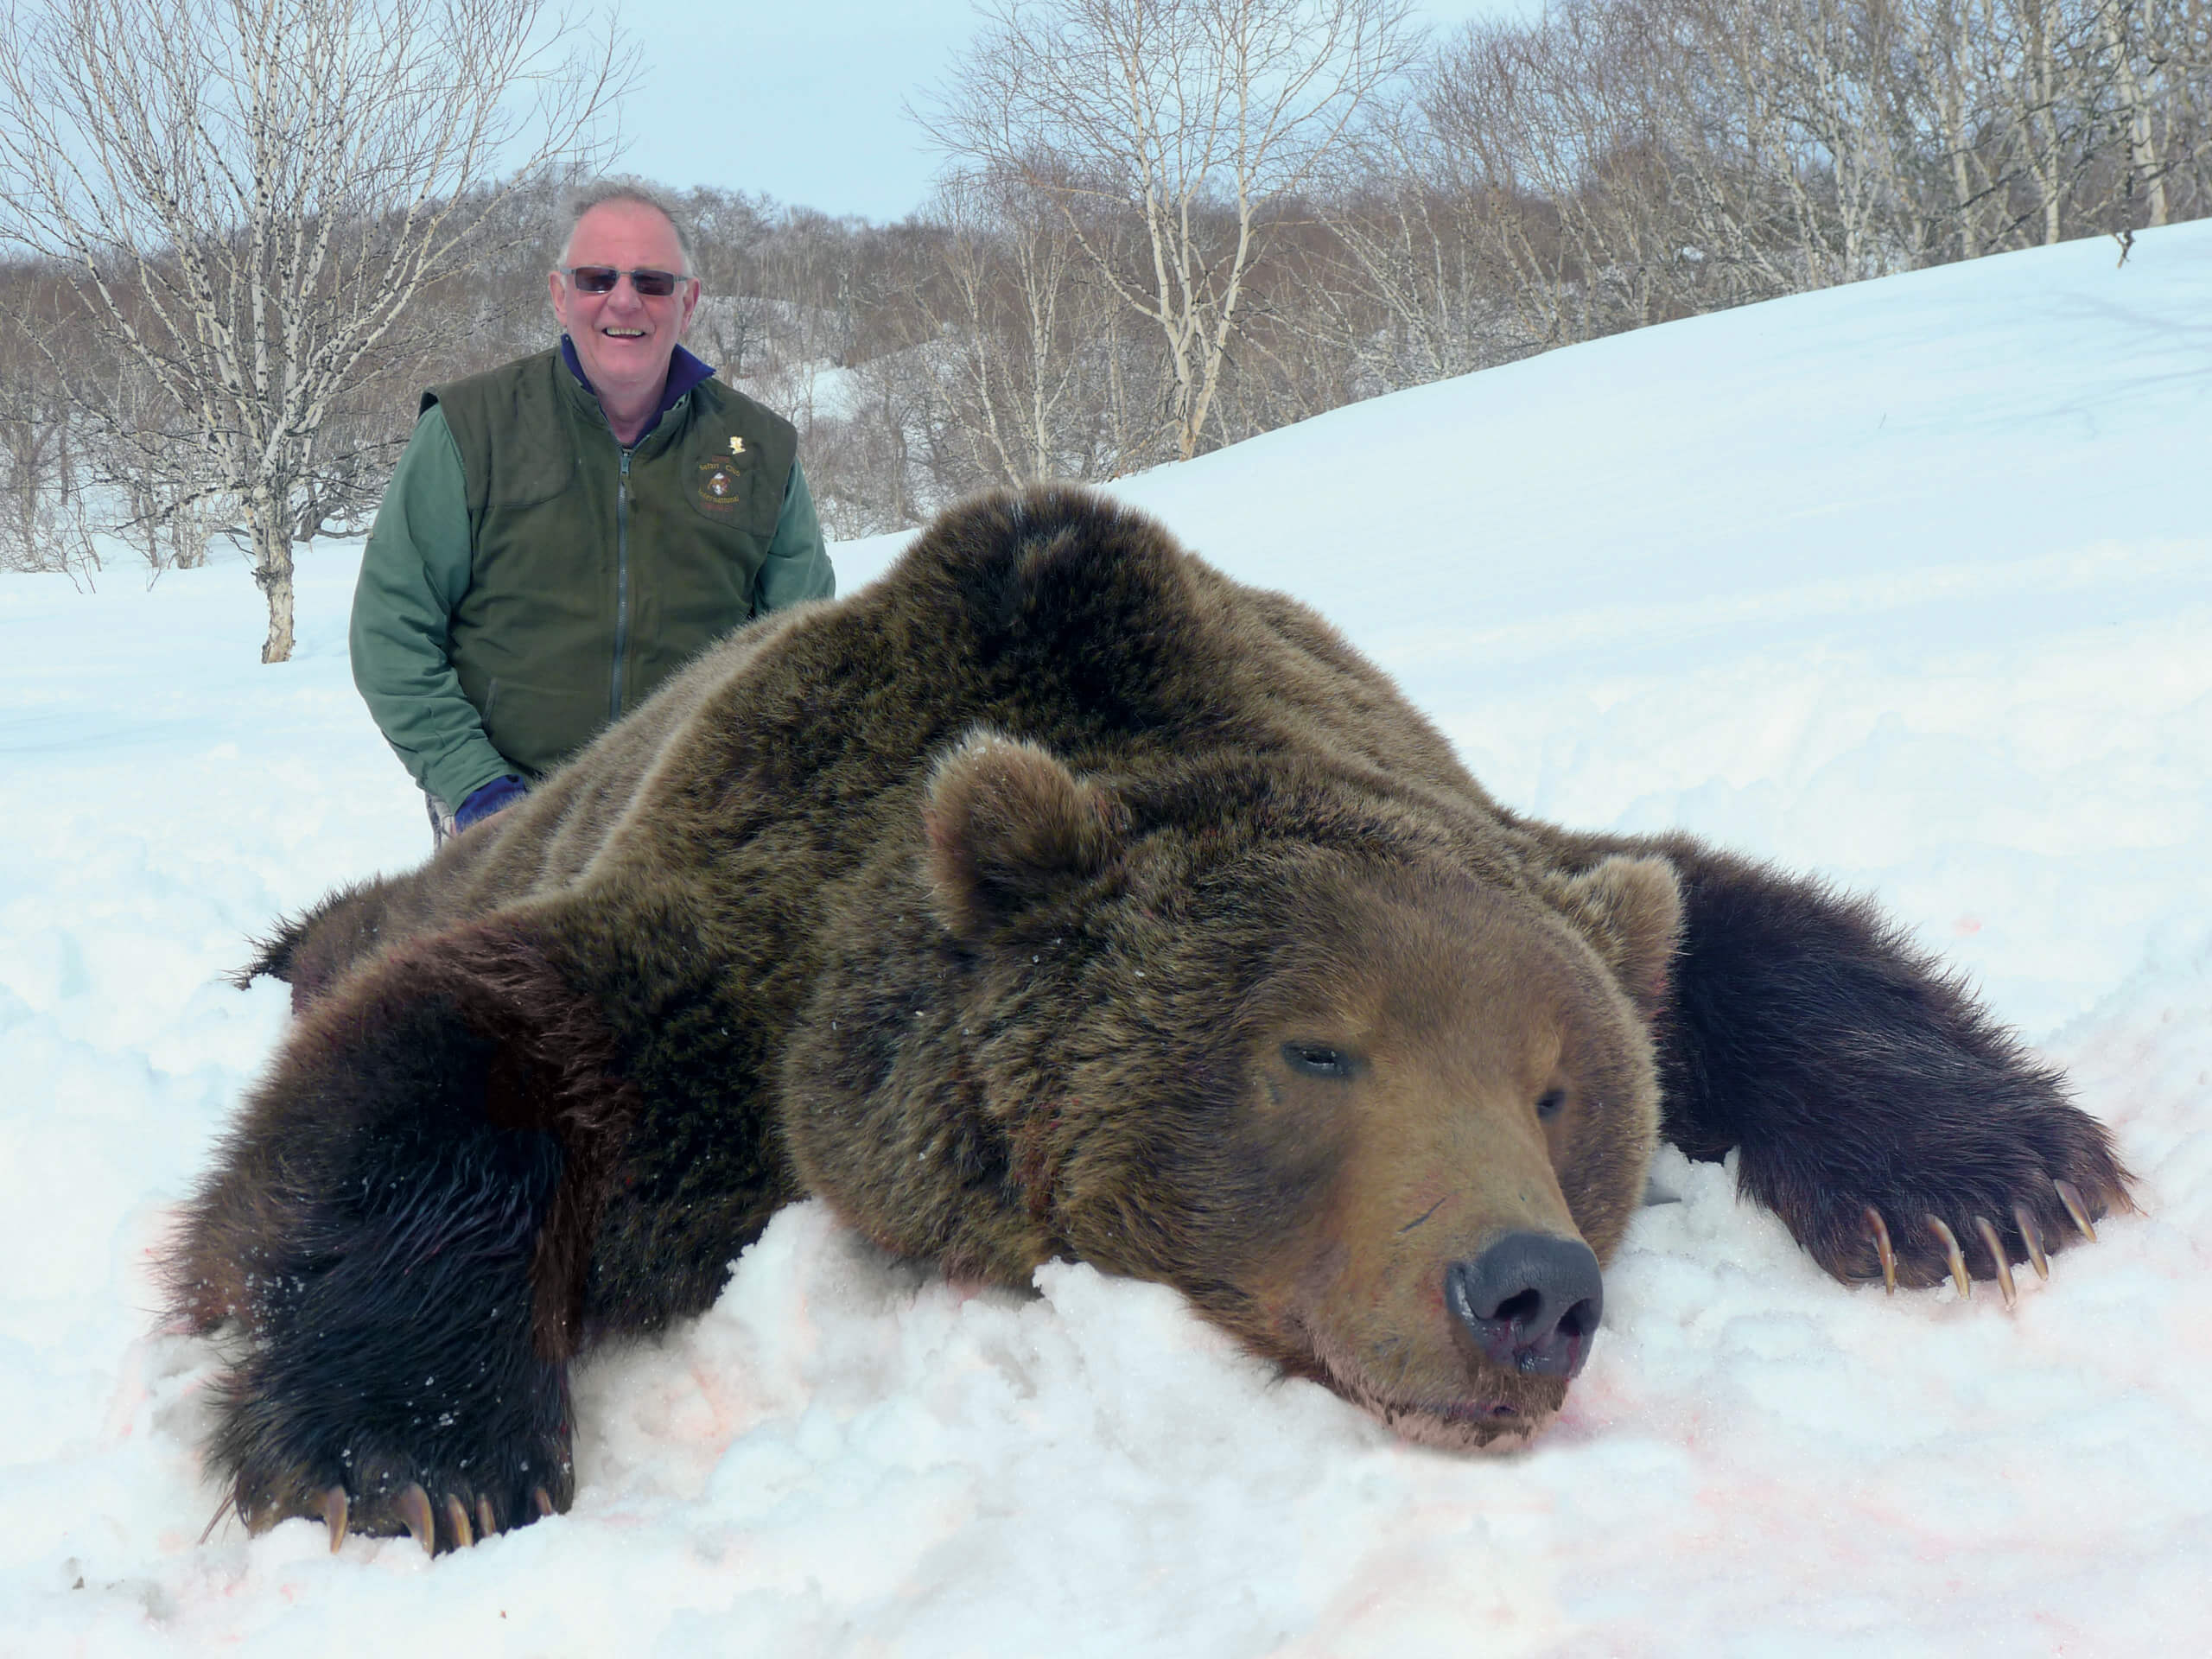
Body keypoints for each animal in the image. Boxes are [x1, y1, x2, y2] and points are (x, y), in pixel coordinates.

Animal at [163, 486, 2132, 1557]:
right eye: (1317, 1048)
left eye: (1562, 1090)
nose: (1527, 1293)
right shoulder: (728, 968)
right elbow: (446, 1063)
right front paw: (414, 1453)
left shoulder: (1480, 818)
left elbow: (1729, 920)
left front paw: (1989, 1179)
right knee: (364, 935)